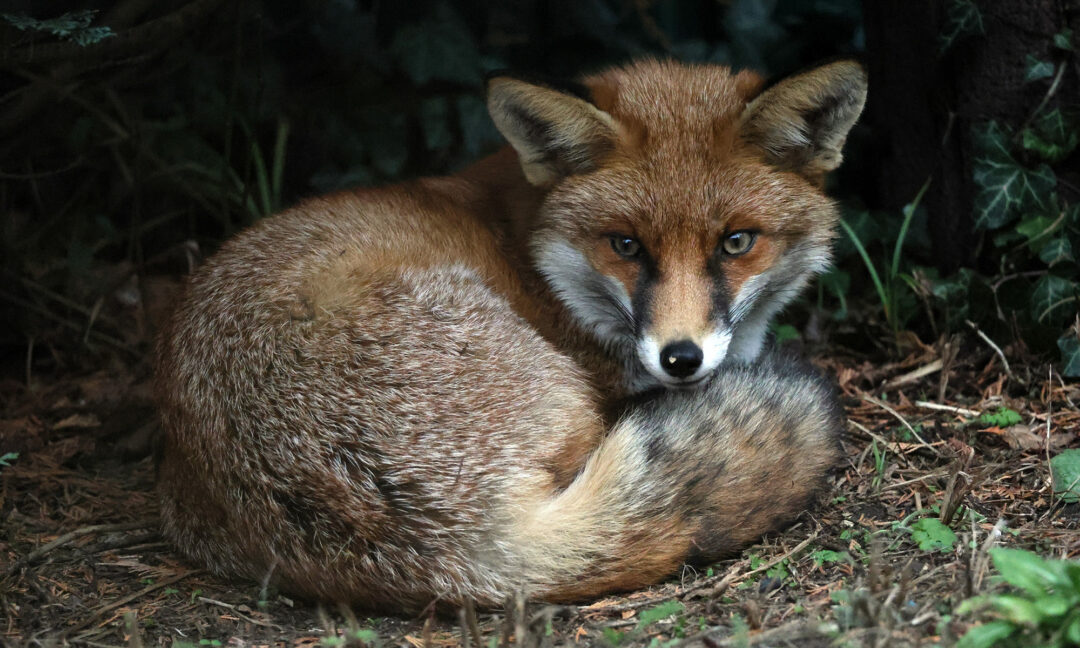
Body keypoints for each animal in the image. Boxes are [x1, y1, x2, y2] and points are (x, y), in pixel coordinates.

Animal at [156, 58, 868, 609]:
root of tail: (464, 548)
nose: (681, 359)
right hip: (558, 396)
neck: (537, 258)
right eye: (626, 245)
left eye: (736, 242)